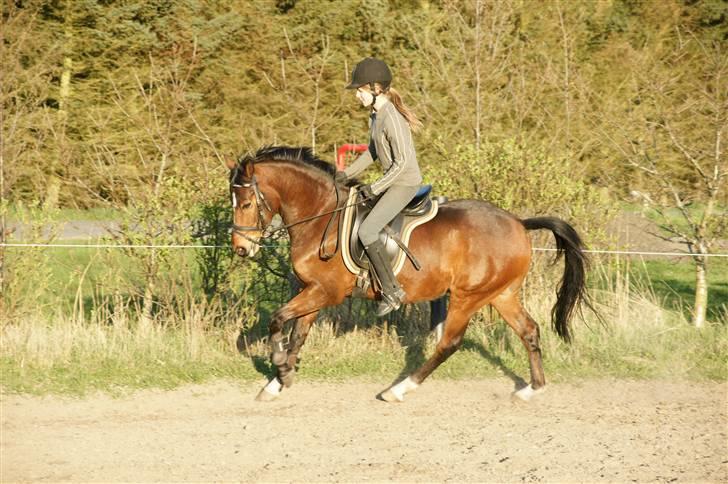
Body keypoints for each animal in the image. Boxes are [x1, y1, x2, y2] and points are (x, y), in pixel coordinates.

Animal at [228, 146, 592, 403]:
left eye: (246, 203)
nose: (241, 249)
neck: (321, 216)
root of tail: (518, 222)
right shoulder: (312, 290)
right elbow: (297, 335)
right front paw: (279, 381)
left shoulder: (325, 292)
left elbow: (278, 320)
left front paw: (279, 367)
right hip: (501, 293)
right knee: (529, 331)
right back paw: (532, 389)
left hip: (468, 296)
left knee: (449, 343)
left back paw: (399, 389)